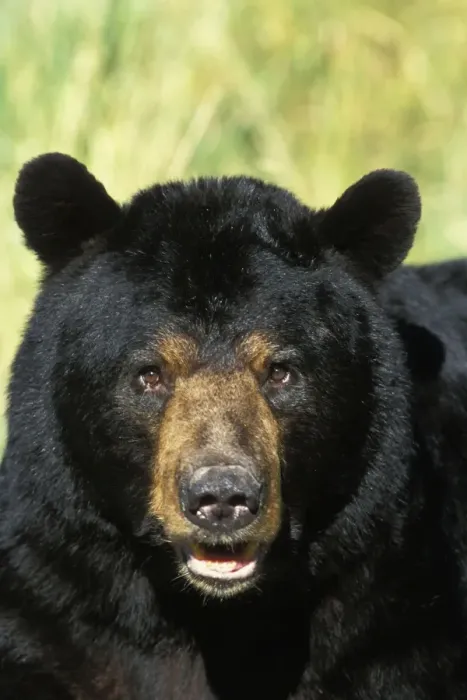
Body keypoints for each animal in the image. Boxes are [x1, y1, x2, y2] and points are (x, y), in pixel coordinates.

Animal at [0, 152, 466, 700]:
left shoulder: (396, 615)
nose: (222, 498)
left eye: (281, 371)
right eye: (150, 374)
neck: (217, 618)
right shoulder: (48, 598)